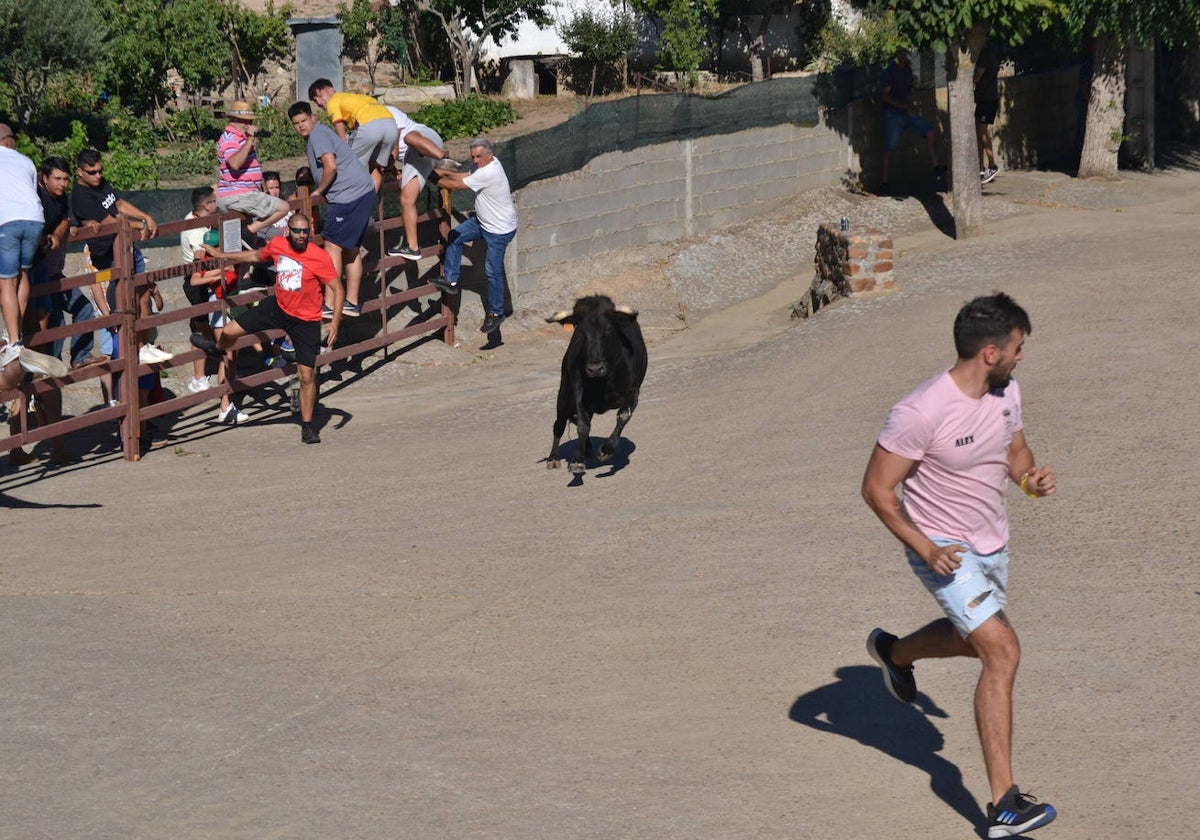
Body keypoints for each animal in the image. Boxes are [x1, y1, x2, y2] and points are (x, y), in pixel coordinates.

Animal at [549, 295, 648, 472]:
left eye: (608, 329)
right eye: (580, 331)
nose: (595, 369)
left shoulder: (633, 393)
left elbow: (623, 416)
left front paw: (606, 450)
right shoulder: (578, 393)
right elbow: (583, 424)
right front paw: (577, 460)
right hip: (564, 394)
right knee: (559, 424)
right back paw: (553, 458)